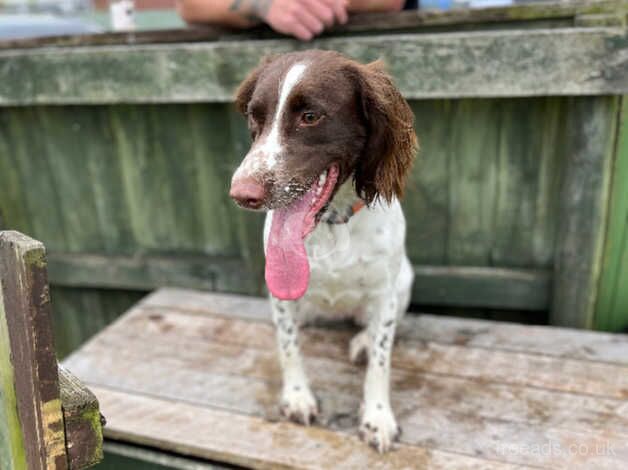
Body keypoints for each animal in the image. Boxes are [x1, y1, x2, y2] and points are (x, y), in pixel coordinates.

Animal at [229, 50, 418, 452]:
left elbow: (382, 358)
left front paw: (378, 416)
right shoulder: (278, 293)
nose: (241, 195)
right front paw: (297, 396)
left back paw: (362, 341)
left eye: (310, 116)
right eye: (255, 117)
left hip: (405, 281)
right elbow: (288, 345)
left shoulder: (385, 291)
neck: (332, 224)